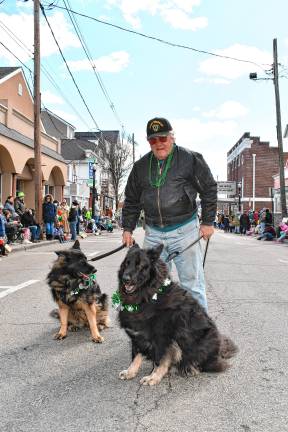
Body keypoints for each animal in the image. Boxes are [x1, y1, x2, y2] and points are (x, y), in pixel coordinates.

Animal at [116, 241, 237, 386]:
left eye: (140, 266)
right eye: (126, 263)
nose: (125, 279)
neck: (147, 297)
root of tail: (220, 349)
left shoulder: (162, 338)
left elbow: (159, 360)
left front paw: (153, 377)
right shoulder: (137, 336)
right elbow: (135, 355)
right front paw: (130, 372)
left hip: (202, 341)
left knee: (207, 364)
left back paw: (189, 367)